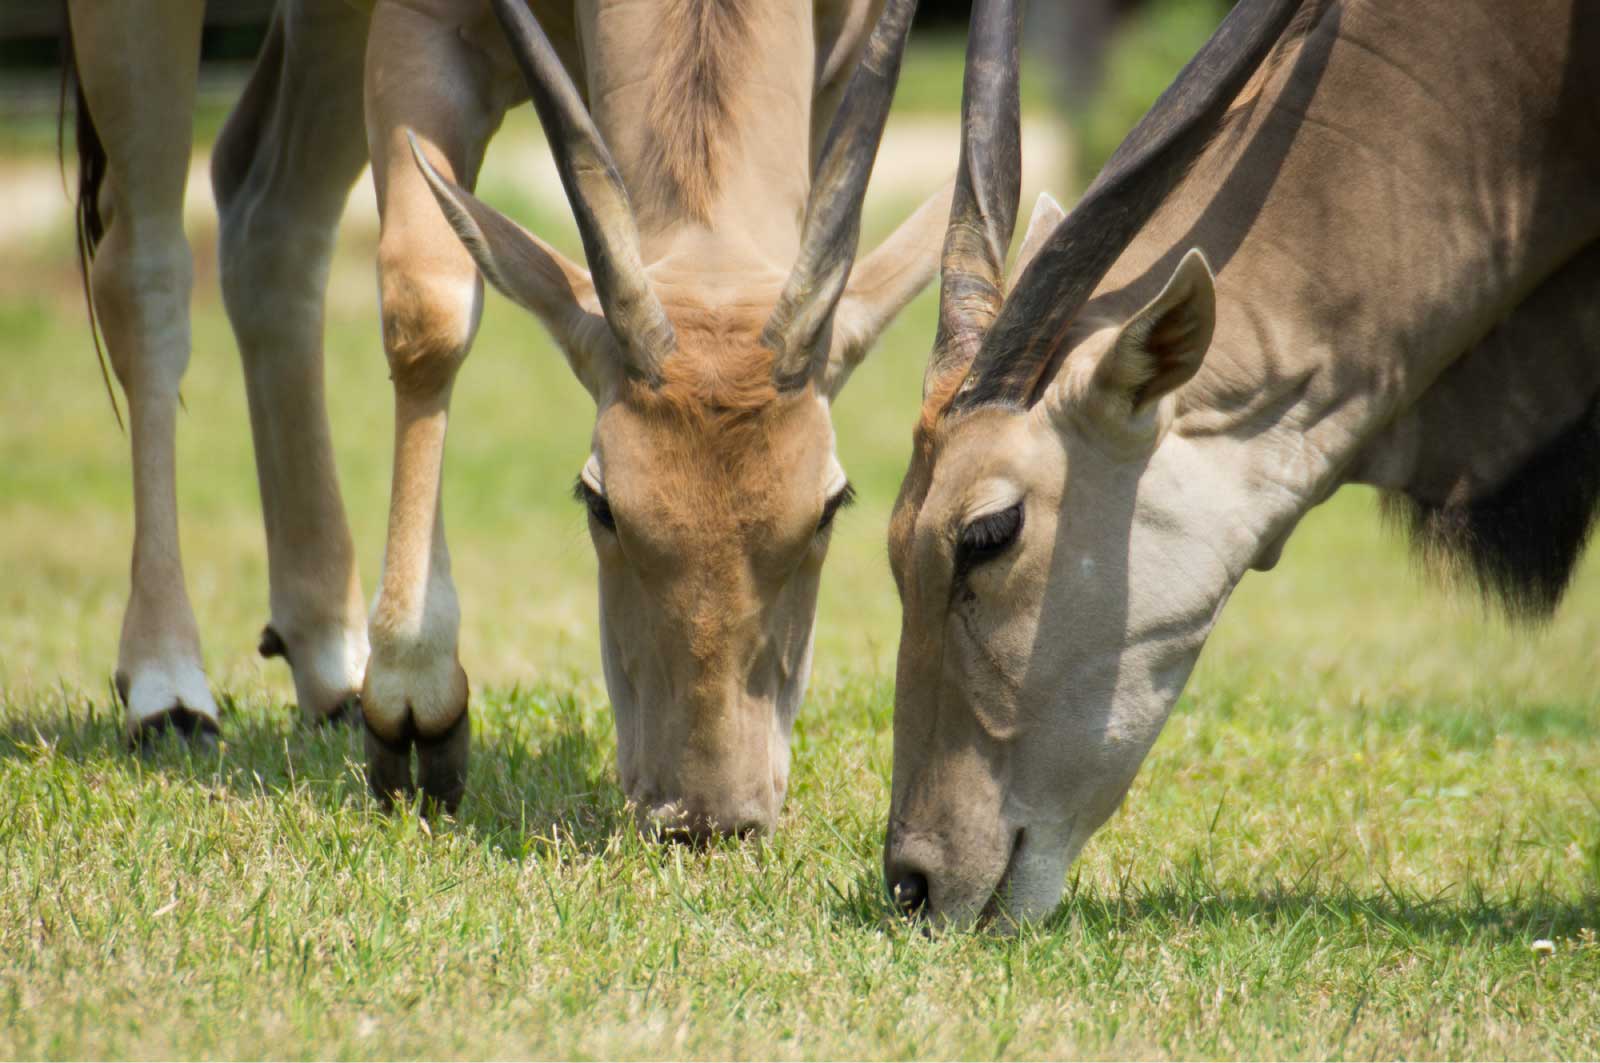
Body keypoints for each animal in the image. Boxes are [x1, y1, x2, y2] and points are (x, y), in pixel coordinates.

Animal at [68, 0, 947, 826]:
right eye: (600, 503)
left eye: (831, 505)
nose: (705, 815)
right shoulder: (425, 30)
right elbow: (428, 308)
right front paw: (412, 688)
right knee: (144, 270)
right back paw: (167, 684)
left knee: (269, 215)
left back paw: (327, 657)